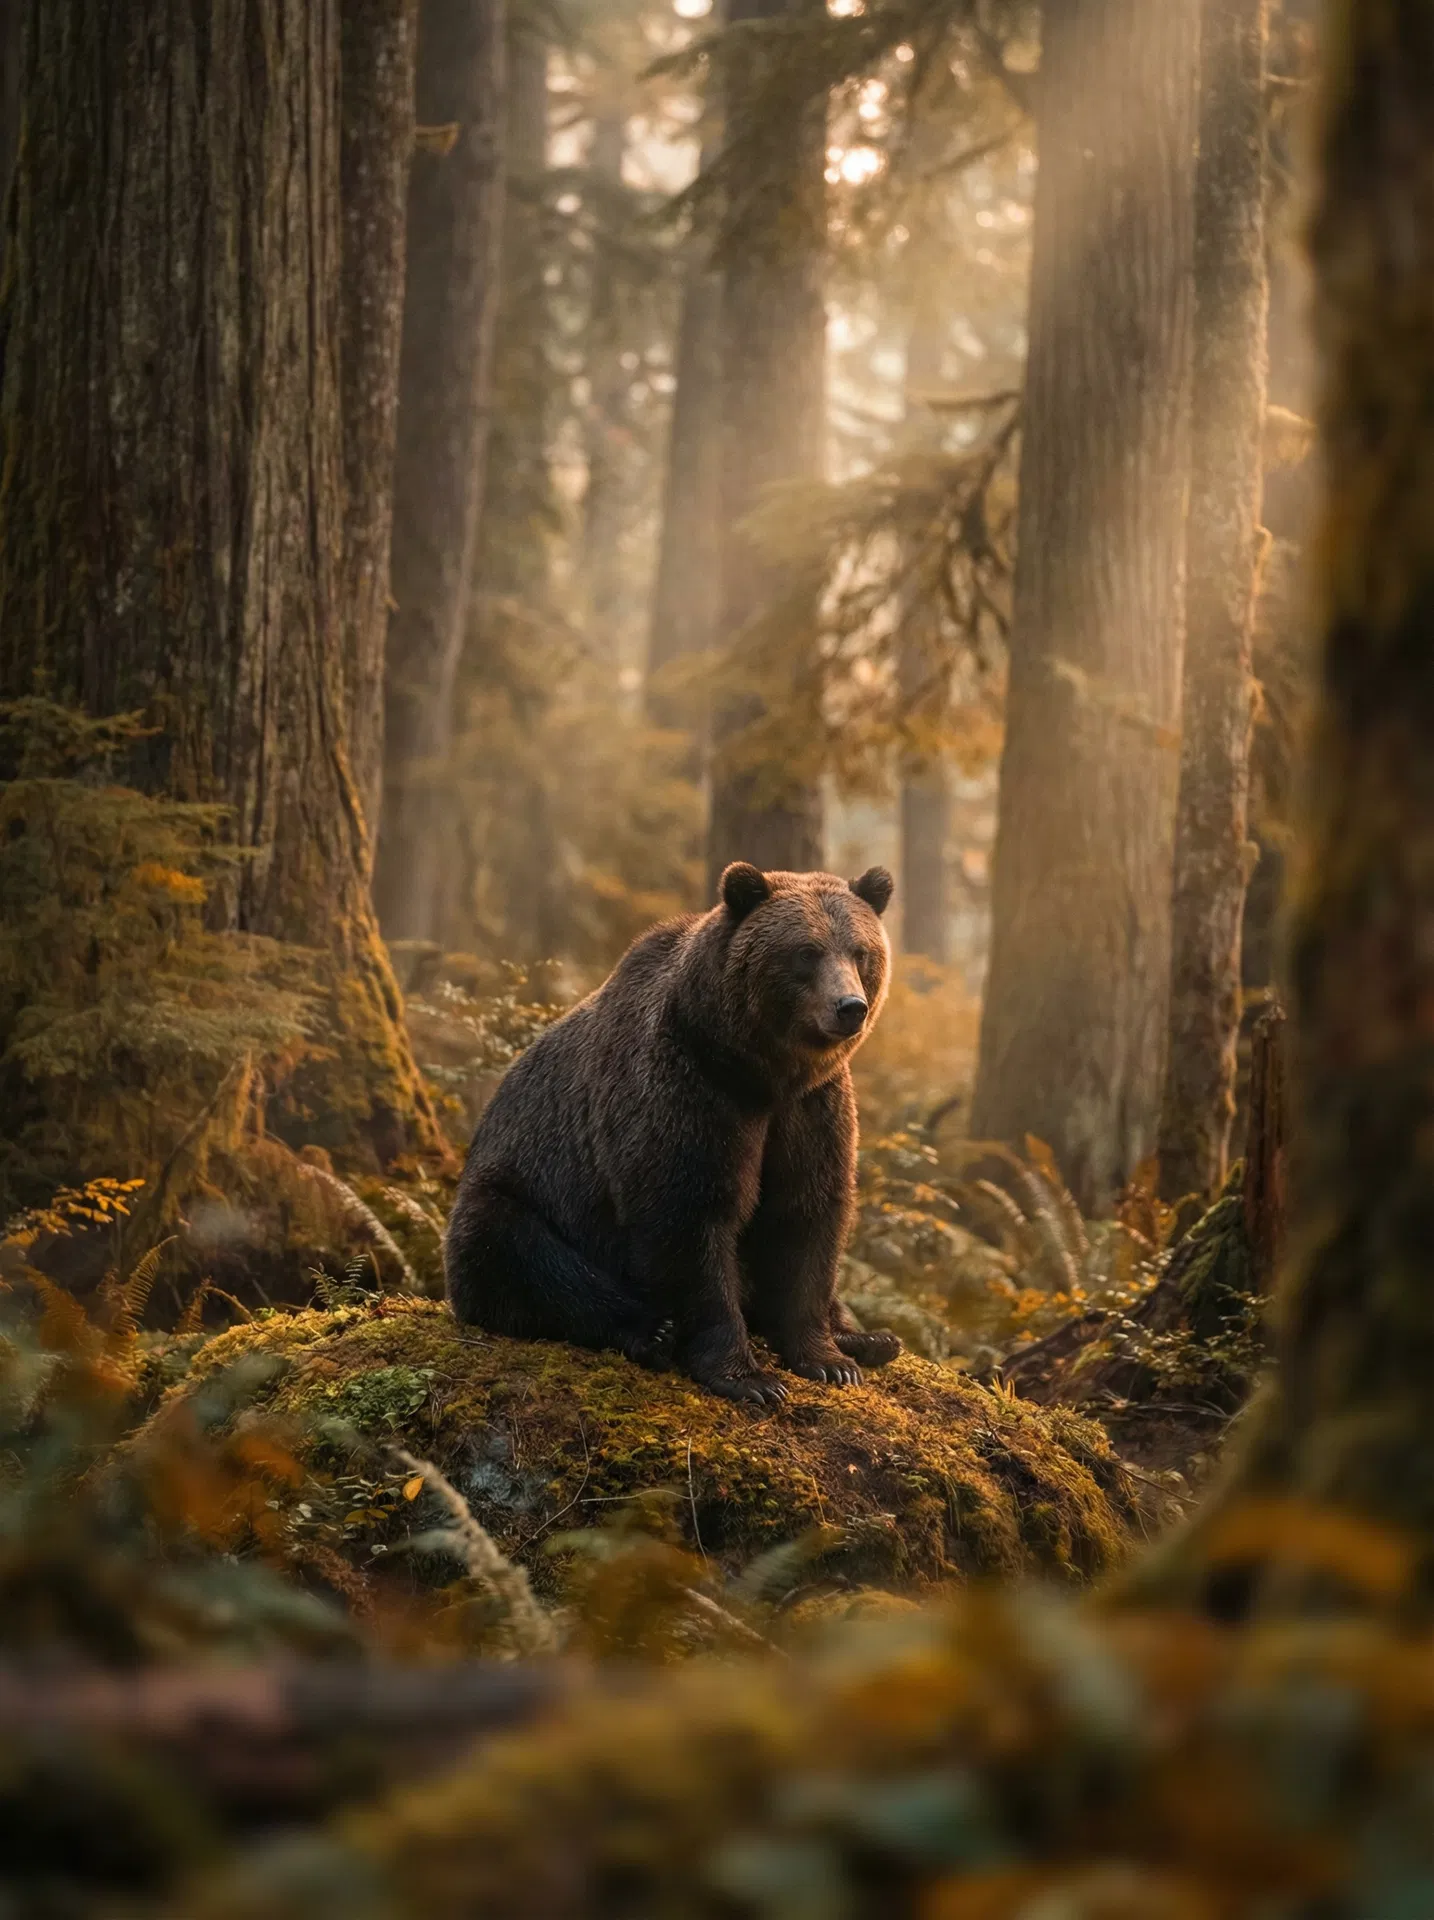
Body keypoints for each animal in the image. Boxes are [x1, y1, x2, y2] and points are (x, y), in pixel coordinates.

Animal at [444, 861, 904, 1405]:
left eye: (860, 951)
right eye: (806, 952)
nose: (849, 1006)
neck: (760, 1073)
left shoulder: (812, 1109)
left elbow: (805, 1214)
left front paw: (830, 1360)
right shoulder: (687, 1091)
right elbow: (687, 1218)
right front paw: (749, 1378)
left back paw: (871, 1338)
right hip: (518, 1191)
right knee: (518, 1253)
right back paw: (650, 1331)